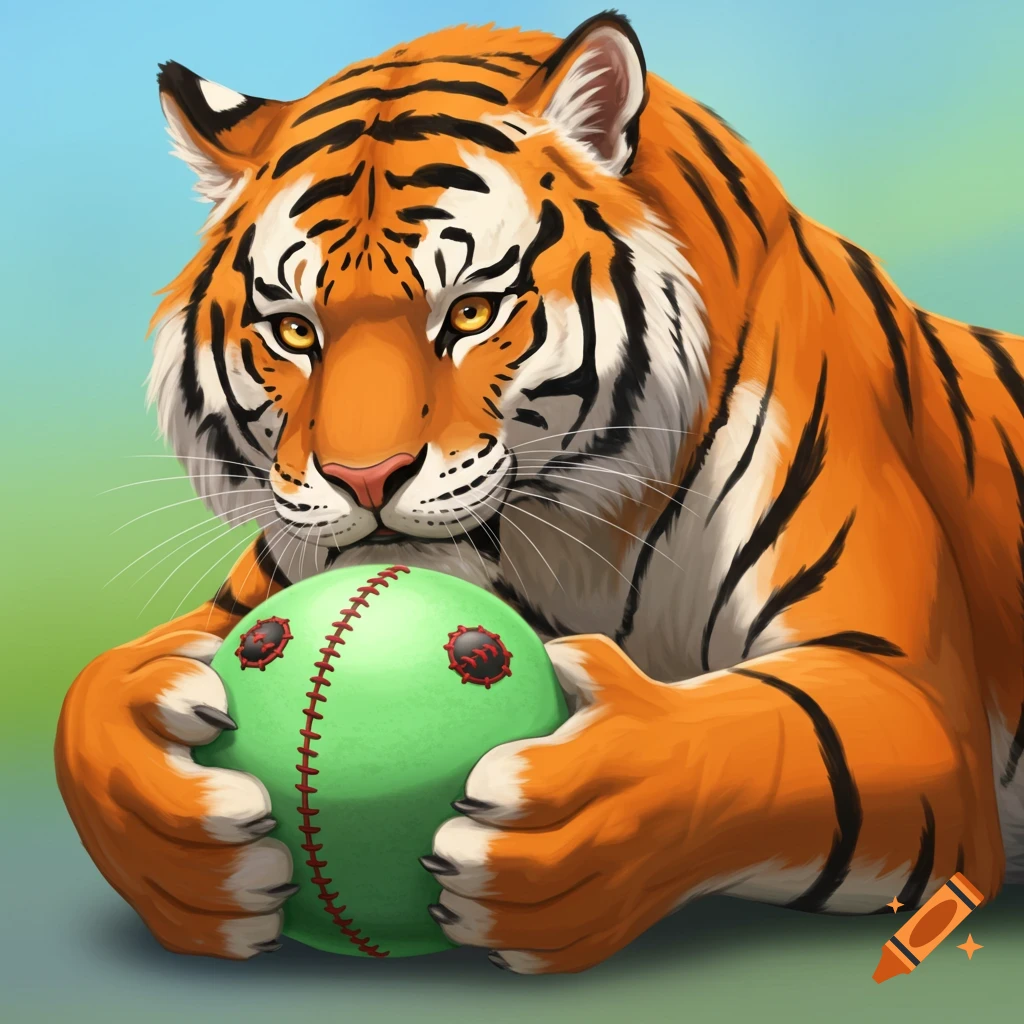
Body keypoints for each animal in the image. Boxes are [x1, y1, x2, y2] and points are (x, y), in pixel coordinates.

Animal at [54, 12, 1024, 974]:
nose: (366, 479)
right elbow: (88, 699)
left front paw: (583, 814)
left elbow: (765, 737)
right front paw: (183, 853)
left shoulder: (904, 690)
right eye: (295, 331)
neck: (574, 544)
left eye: (470, 313)